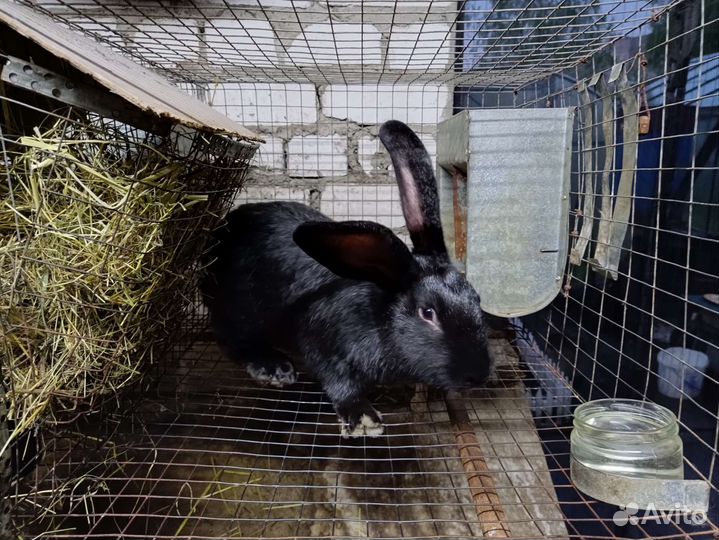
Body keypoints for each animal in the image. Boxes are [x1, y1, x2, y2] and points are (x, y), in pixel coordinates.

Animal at [201, 120, 494, 437]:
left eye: (477, 298)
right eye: (428, 313)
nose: (479, 375)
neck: (379, 318)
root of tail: (218, 236)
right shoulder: (325, 344)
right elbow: (339, 382)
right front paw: (364, 419)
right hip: (236, 312)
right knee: (231, 339)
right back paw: (272, 367)